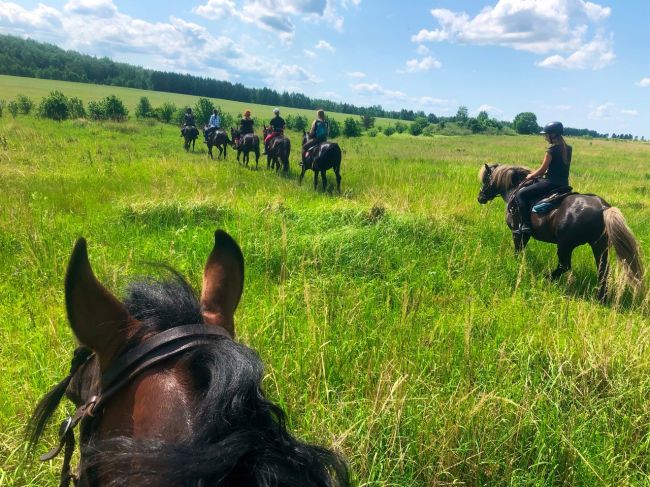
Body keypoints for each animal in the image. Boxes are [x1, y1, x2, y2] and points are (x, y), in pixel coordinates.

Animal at [476, 165, 644, 302]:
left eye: (485, 179)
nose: (480, 198)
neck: (515, 189)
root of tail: (604, 208)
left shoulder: (518, 233)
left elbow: (518, 251)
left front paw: (516, 265)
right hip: (599, 246)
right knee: (603, 270)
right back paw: (601, 298)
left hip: (565, 245)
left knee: (564, 266)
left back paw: (546, 278)